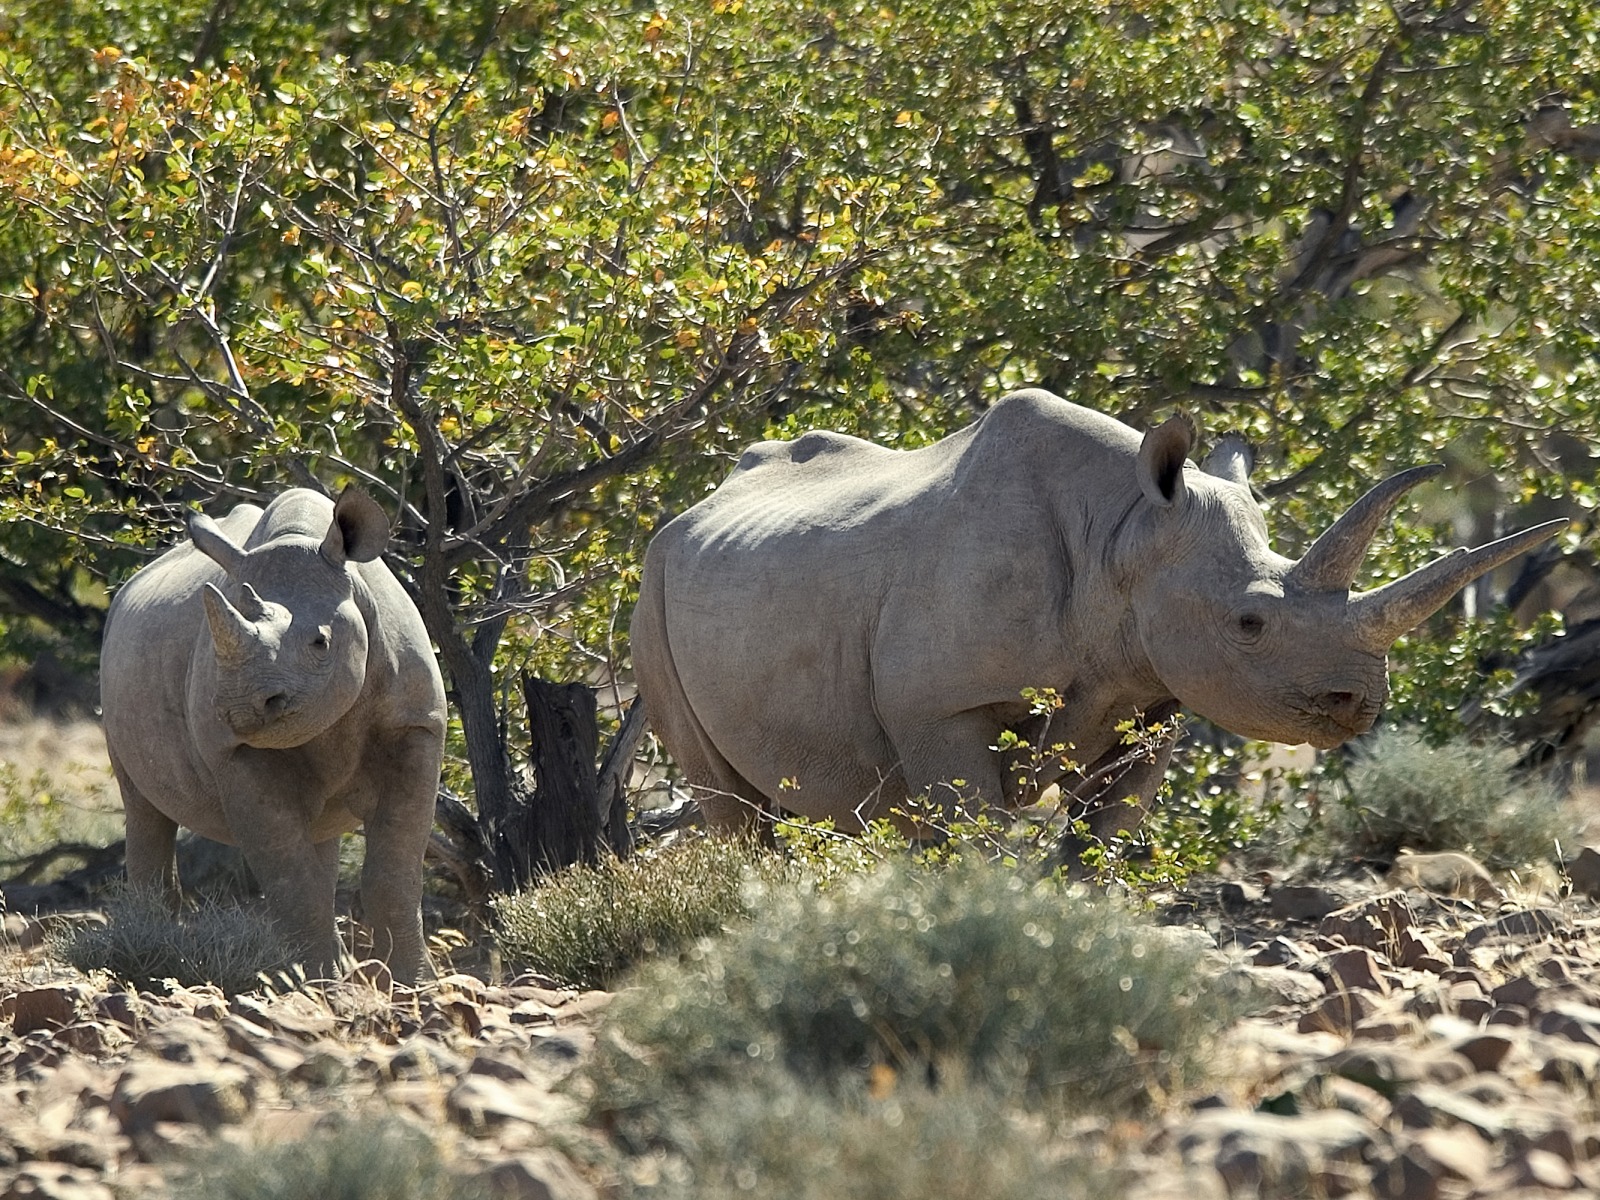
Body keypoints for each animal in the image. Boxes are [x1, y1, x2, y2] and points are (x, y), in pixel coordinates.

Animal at [100, 487, 447, 981]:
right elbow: (290, 878)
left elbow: (395, 872)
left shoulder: (415, 723)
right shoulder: (238, 751)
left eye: (321, 643)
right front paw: (319, 984)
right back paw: (150, 948)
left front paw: (413, 983)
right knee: (144, 808)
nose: (240, 706)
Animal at [632, 389, 1565, 840]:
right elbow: (976, 829)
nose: (1358, 703)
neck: (1123, 532)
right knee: (729, 803)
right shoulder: (944, 703)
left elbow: (1103, 834)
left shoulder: (1151, 693)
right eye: (1250, 623)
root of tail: (696, 505)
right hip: (654, 582)